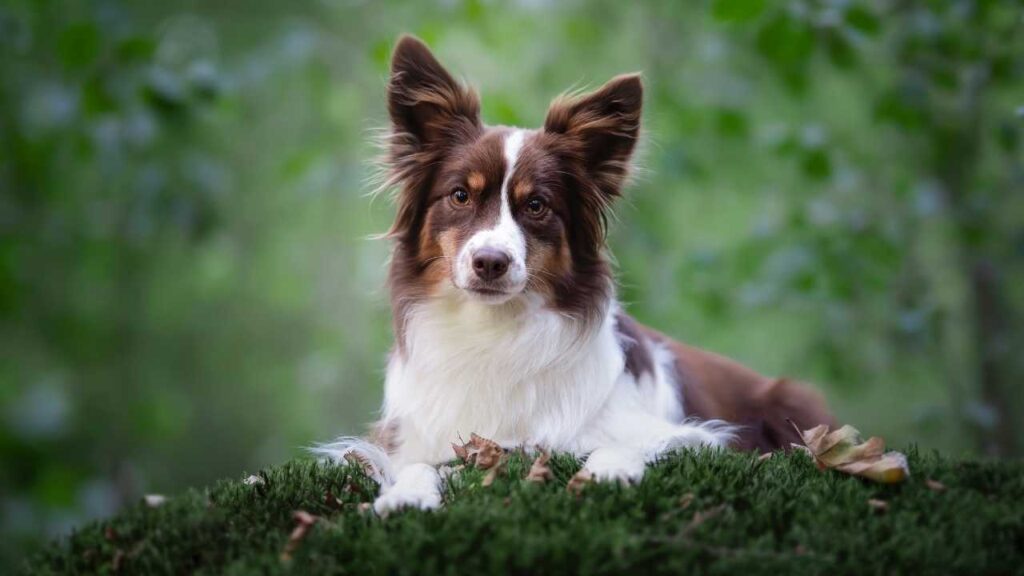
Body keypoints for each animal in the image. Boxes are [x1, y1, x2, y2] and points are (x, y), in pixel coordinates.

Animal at [319, 34, 831, 510]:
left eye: (537, 205)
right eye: (460, 195)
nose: (490, 263)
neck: (493, 330)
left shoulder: (691, 436)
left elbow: (616, 445)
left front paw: (608, 471)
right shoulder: (406, 439)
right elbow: (414, 464)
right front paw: (407, 495)